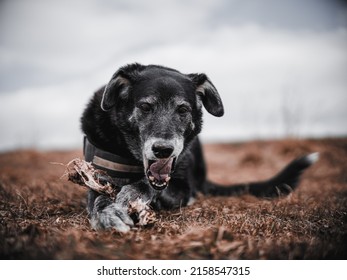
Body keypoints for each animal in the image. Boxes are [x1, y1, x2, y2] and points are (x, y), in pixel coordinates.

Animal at [81, 63, 318, 232]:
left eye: (182, 109)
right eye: (146, 107)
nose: (163, 150)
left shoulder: (183, 189)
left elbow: (146, 185)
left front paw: (131, 196)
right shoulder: (97, 177)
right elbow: (99, 199)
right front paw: (107, 214)